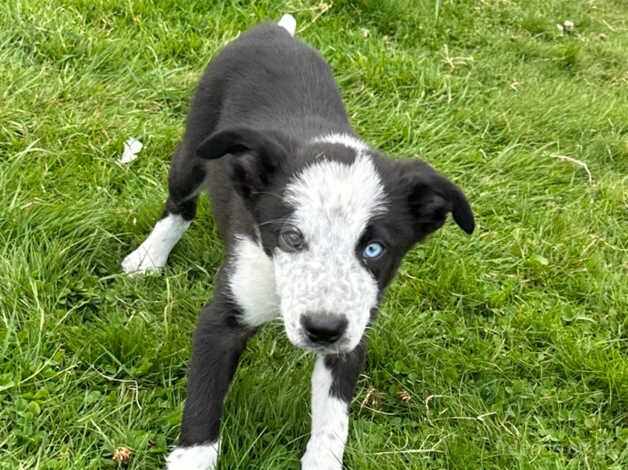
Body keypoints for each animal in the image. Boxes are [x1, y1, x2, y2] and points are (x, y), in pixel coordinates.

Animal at [122, 12, 474, 470]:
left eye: (374, 249)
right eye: (291, 237)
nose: (322, 329)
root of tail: (275, 30)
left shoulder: (353, 331)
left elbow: (332, 420)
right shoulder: (222, 320)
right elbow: (203, 405)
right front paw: (191, 458)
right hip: (194, 146)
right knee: (179, 206)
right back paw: (149, 257)